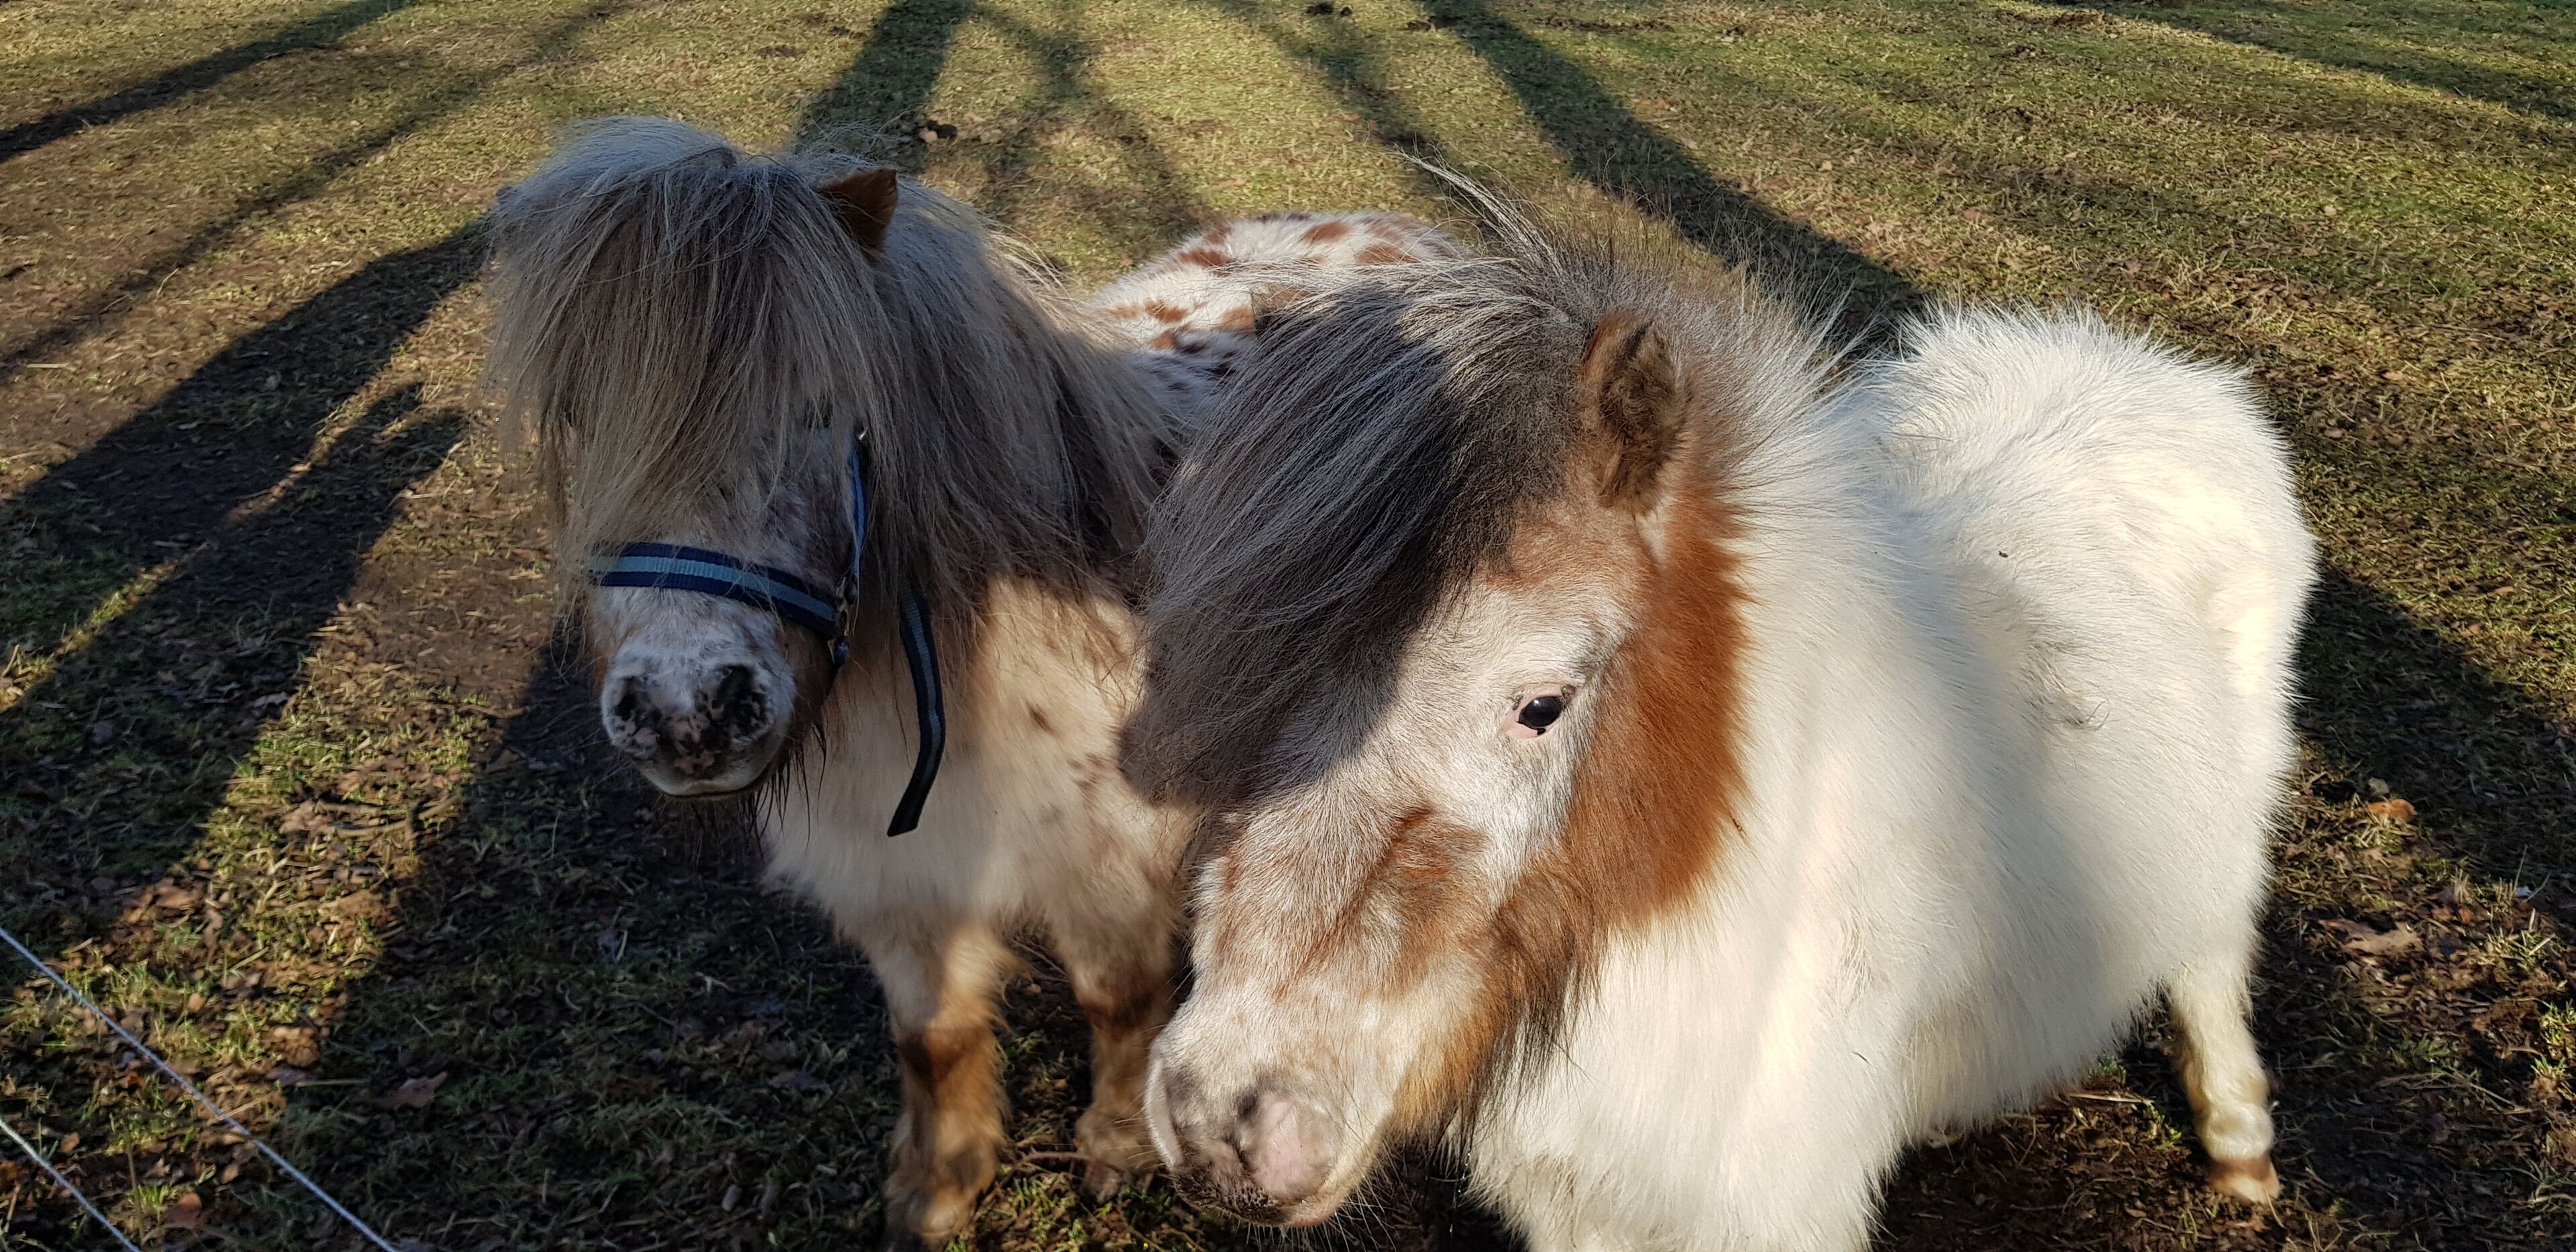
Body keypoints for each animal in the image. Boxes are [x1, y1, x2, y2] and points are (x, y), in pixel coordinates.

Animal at [480, 116, 1457, 1247]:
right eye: (575, 415)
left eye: (826, 410)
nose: (688, 713)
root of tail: (1395, 227)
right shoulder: (895, 882)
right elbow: (935, 1036)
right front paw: (940, 1185)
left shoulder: (1110, 878)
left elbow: (1120, 1004)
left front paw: (1114, 1145)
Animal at [1116, 218, 2316, 1249]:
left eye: (1542, 703)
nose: (1224, 1120)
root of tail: (2133, 363)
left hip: (2226, 842)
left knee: (2211, 956)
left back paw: (2241, 1145)